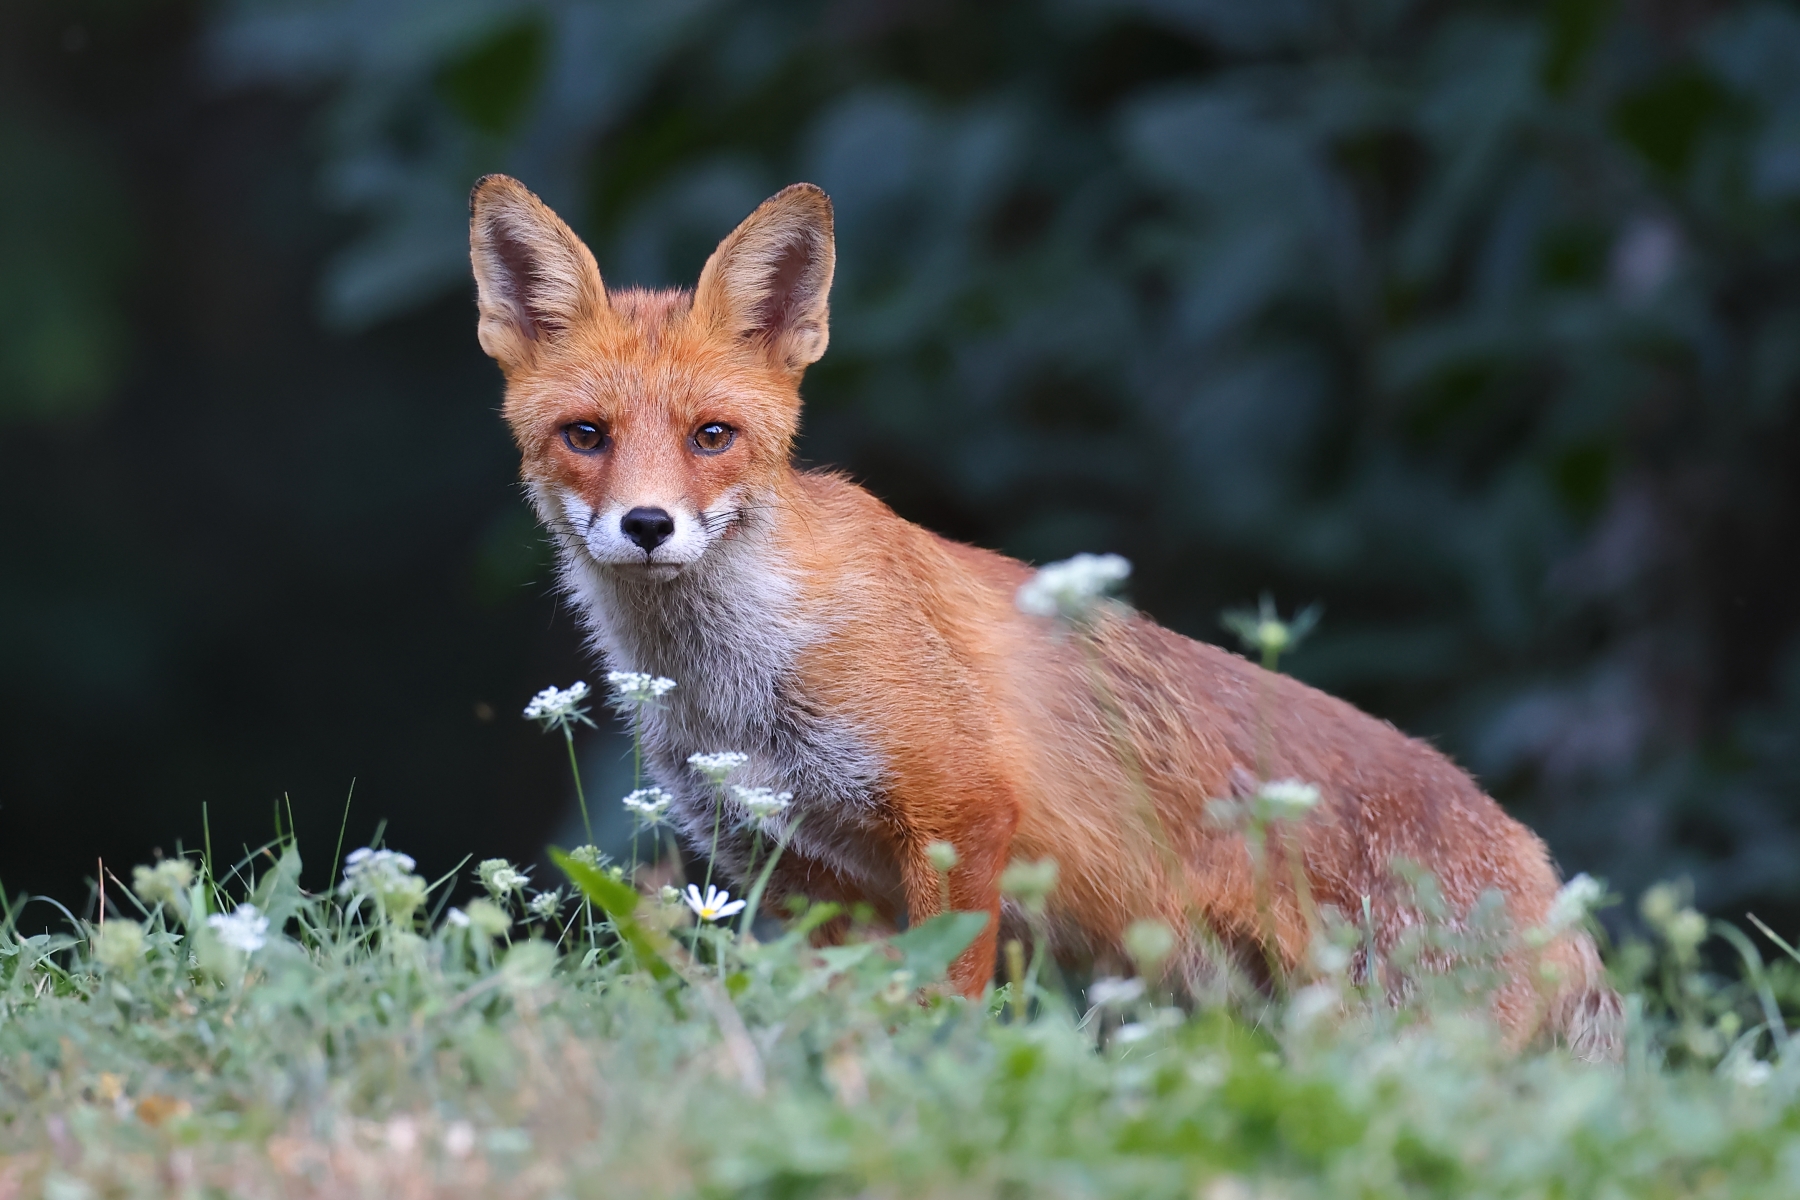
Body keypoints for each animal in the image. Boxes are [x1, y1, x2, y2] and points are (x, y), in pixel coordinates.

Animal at [468, 174, 1621, 1060]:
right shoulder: (796, 873)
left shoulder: (960, 819)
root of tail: (1548, 877)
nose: (647, 524)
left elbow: (945, 1005)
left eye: (712, 435)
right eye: (586, 435)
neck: (739, 682)